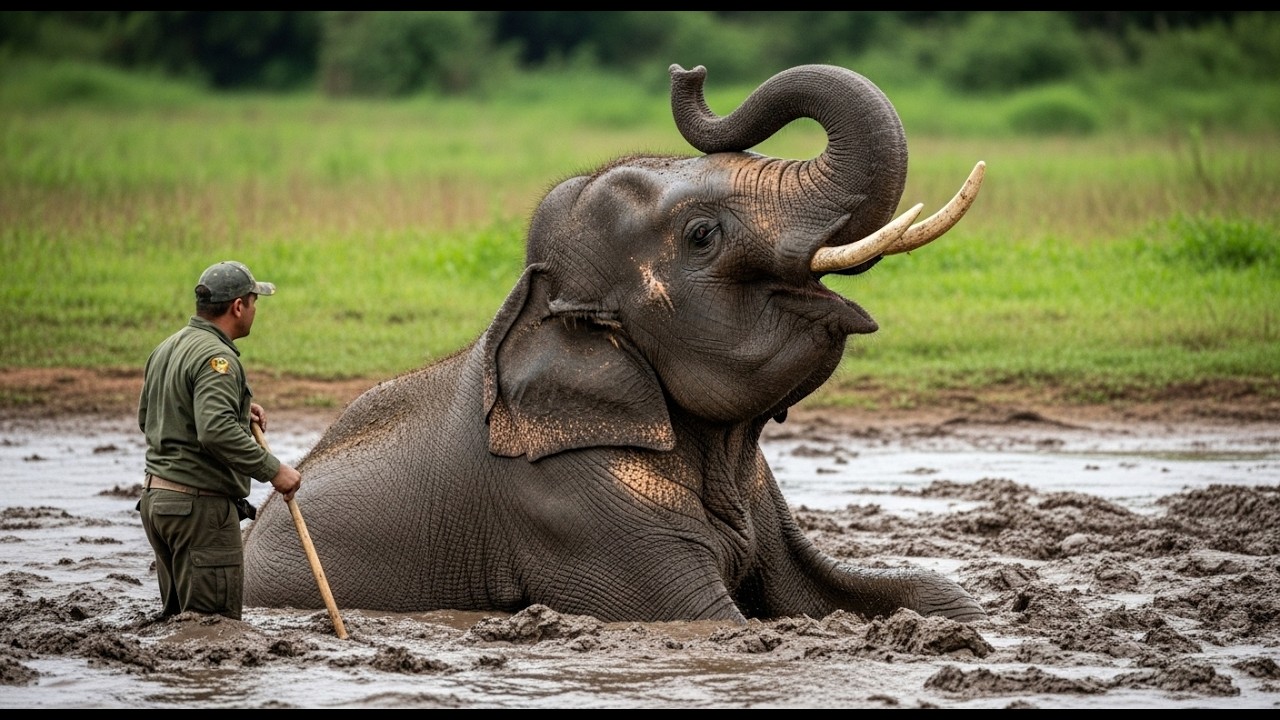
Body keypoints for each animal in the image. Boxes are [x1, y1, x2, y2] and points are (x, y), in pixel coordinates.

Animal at [242, 63, 987, 624]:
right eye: (701, 236)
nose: (690, 71)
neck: (534, 302)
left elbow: (890, 592)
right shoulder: (569, 508)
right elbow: (721, 622)